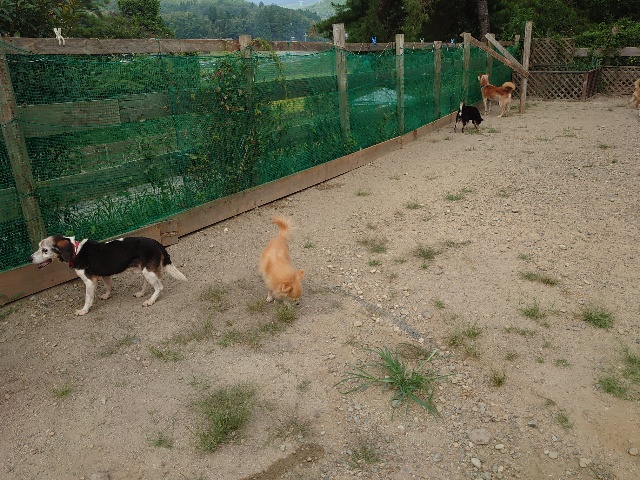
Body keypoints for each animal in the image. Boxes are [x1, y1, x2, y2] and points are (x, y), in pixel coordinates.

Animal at [30, 235, 186, 315]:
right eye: (39, 247)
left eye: (44, 250)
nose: (29, 258)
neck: (75, 251)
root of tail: (157, 243)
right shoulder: (104, 275)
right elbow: (108, 286)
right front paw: (107, 295)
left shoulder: (89, 281)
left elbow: (88, 298)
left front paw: (84, 310)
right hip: (144, 270)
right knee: (149, 283)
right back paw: (141, 293)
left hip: (147, 271)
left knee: (159, 287)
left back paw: (150, 300)